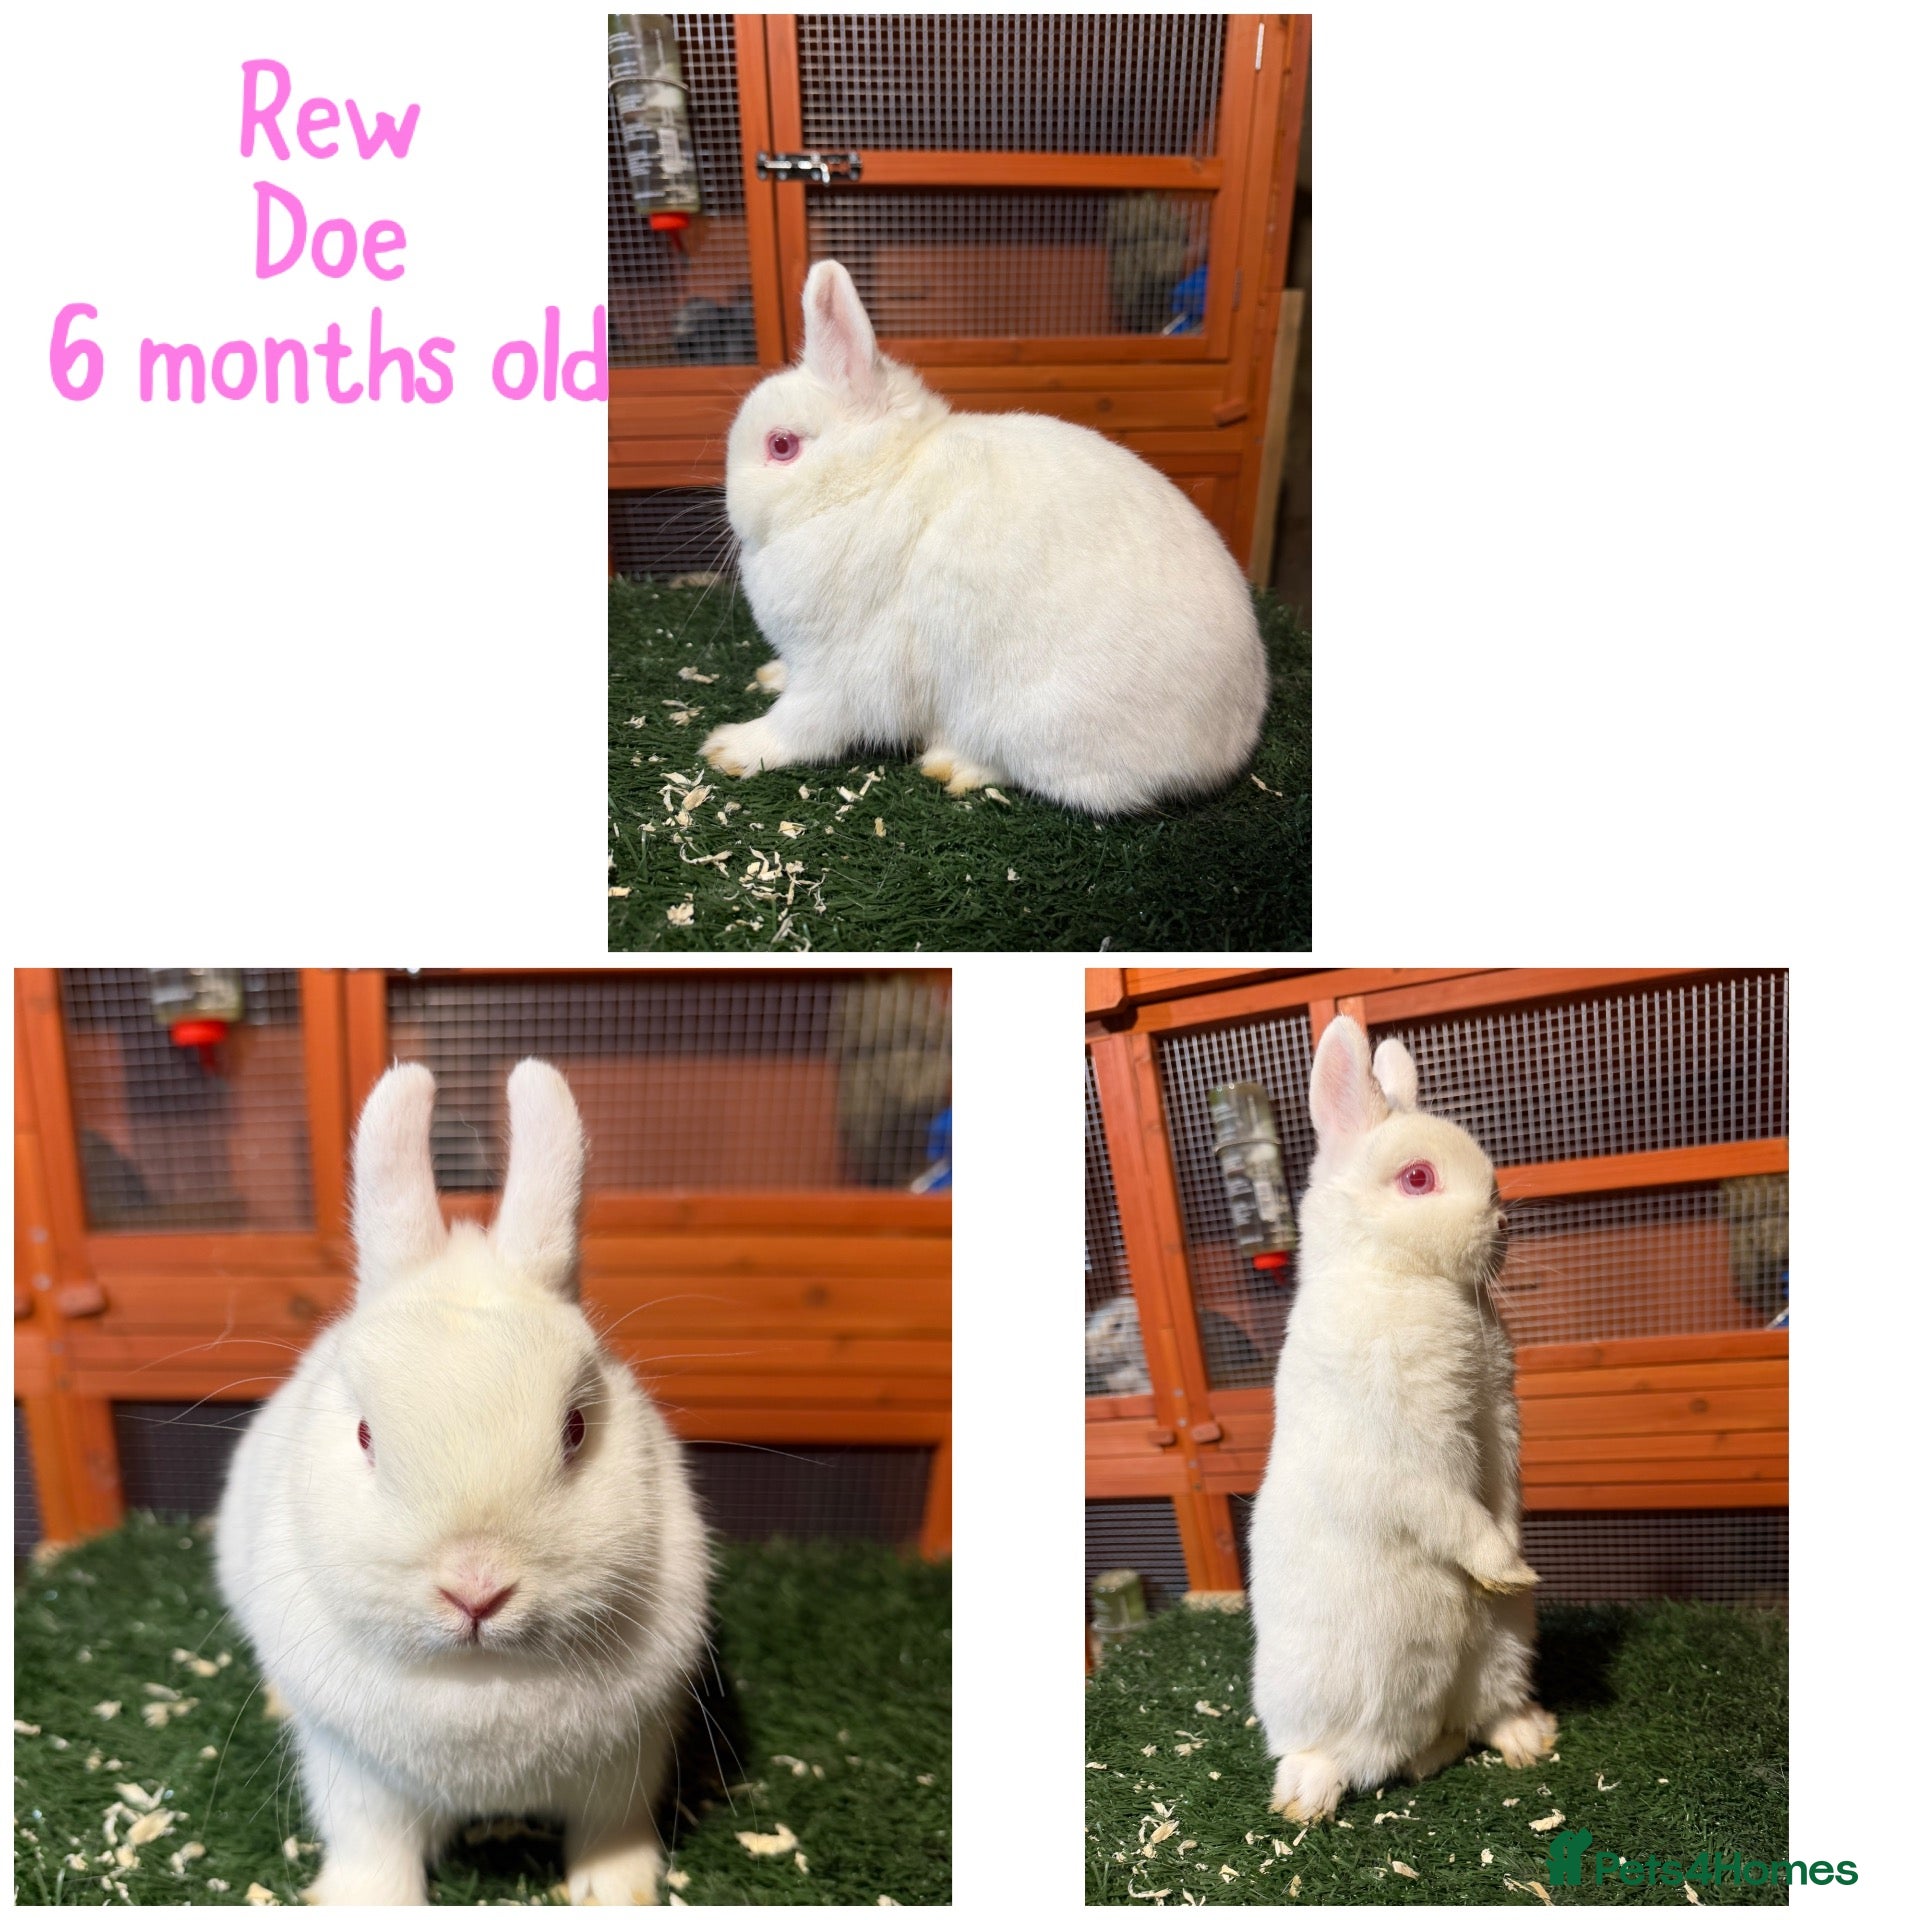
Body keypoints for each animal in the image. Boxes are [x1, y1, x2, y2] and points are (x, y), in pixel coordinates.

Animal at [215, 1059, 710, 1906]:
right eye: (366, 1436)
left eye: (576, 1431)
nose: (476, 1591)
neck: (478, 1677)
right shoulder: (357, 1779)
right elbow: (374, 1847)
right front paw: (368, 1900)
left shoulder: (627, 1762)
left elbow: (611, 1833)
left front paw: (617, 1892)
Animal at [699, 259, 1269, 814]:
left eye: (781, 445)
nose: (731, 507)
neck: (875, 478)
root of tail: (1229, 747)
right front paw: (770, 675)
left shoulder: (845, 670)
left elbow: (801, 723)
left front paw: (730, 747)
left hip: (1036, 728)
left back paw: (953, 764)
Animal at [1246, 1016, 1556, 1825]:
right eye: (1418, 1178)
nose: (1501, 1222)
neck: (1403, 1275)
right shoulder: (1400, 1456)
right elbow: (1449, 1512)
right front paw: (1505, 1569)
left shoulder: (1497, 1422)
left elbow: (1498, 1498)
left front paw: (1516, 1568)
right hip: (1336, 1690)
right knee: (1343, 1751)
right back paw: (1306, 1797)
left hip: (1501, 1653)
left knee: (1468, 1723)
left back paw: (1525, 1737)